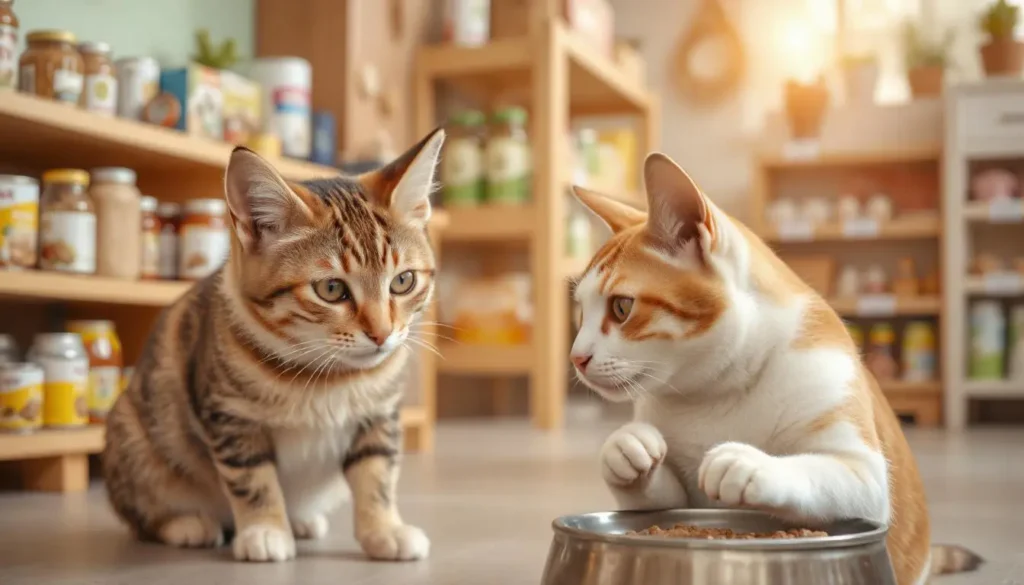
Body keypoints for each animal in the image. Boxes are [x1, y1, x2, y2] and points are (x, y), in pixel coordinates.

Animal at [101, 129, 446, 561]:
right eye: (331, 289)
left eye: (403, 281)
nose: (383, 334)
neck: (327, 374)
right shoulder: (230, 415)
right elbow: (252, 478)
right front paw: (265, 529)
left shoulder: (379, 414)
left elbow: (377, 474)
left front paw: (385, 530)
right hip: (134, 439)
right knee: (141, 512)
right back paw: (187, 524)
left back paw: (301, 520)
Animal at [573, 153, 978, 581]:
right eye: (580, 311)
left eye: (622, 307)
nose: (576, 357)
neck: (718, 392)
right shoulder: (675, 498)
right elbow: (659, 500)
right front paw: (625, 448)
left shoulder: (865, 476)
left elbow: (817, 471)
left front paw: (752, 463)